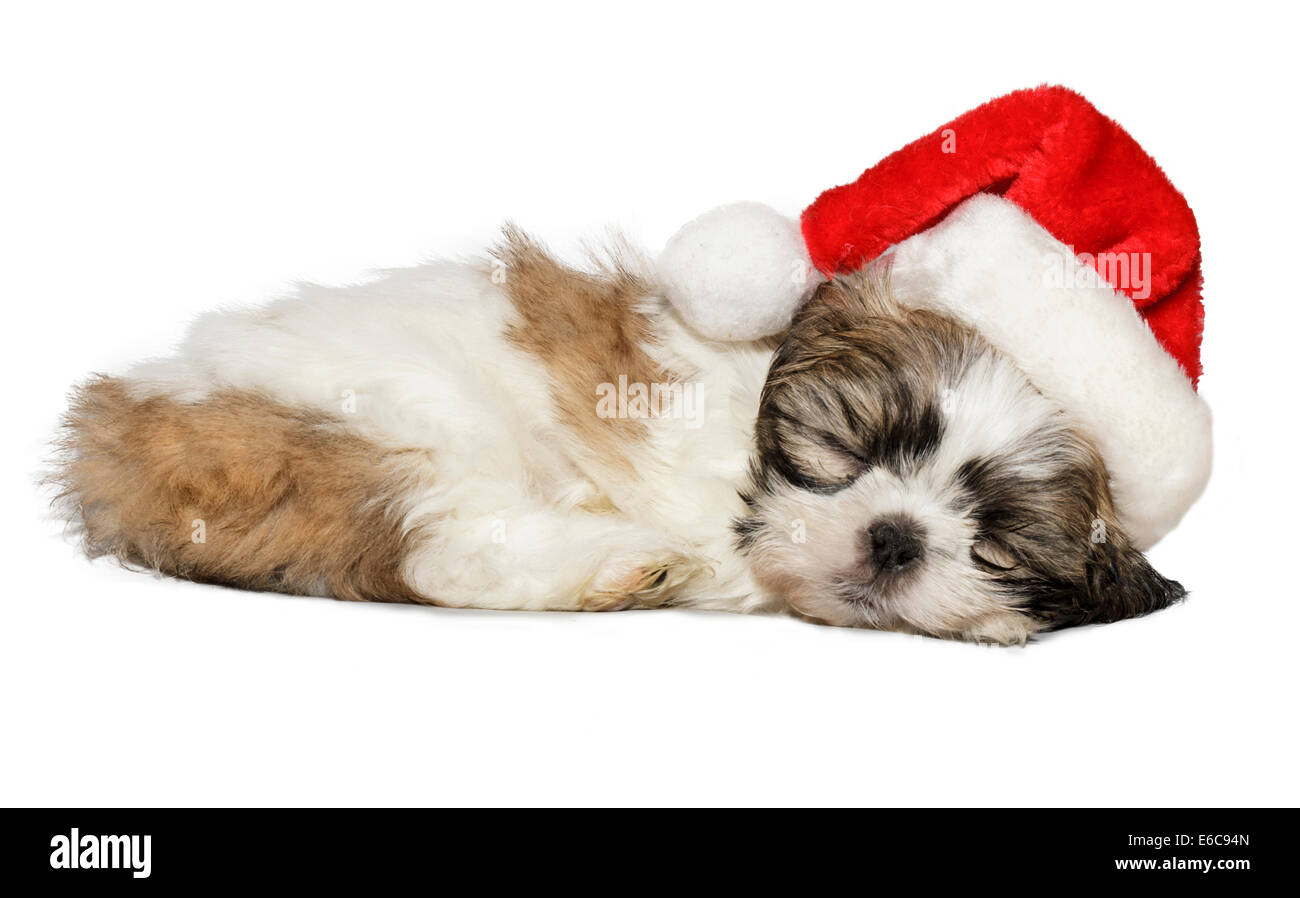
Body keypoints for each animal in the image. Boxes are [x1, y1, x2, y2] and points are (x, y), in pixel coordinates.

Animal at [53, 223, 1190, 647]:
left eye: (997, 538)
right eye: (845, 446)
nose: (896, 537)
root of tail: (124, 421)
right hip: (382, 421)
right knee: (433, 542)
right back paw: (616, 565)